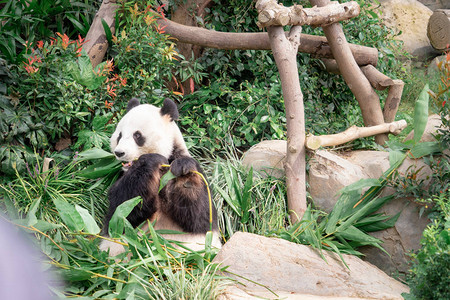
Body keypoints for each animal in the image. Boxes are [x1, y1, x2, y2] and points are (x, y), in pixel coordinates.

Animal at [99, 96, 221, 255]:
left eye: (137, 135)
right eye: (119, 136)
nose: (119, 152)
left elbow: (201, 217)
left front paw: (183, 171)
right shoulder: (122, 179)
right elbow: (121, 212)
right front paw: (151, 161)